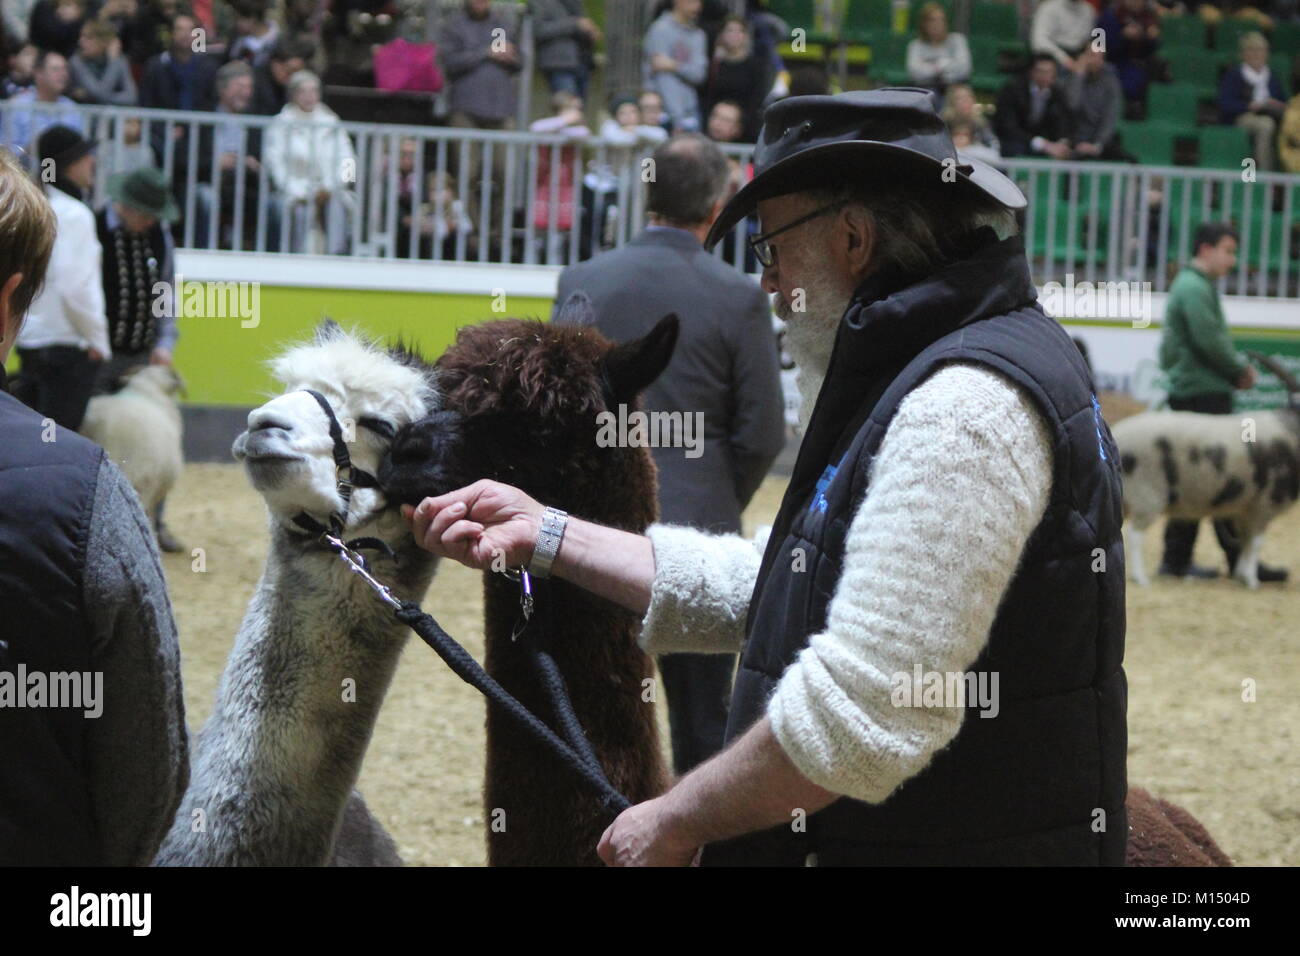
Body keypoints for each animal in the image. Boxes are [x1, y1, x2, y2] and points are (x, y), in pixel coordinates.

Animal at [1107, 353, 1300, 590]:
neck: (1291, 429)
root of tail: (1117, 434)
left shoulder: (1245, 508)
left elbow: (1245, 542)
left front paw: (1242, 574)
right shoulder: (1264, 503)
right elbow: (1256, 543)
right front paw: (1252, 580)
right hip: (1147, 494)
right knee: (1135, 535)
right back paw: (1141, 578)